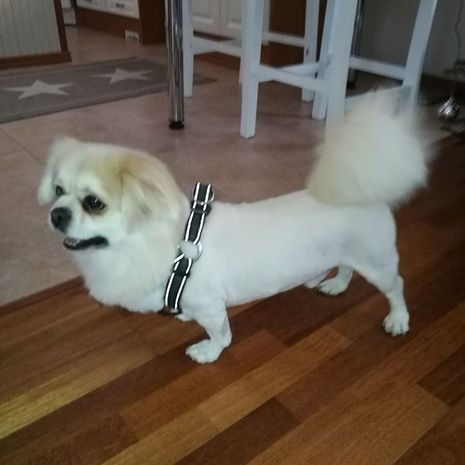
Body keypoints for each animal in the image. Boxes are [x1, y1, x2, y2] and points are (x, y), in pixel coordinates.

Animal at [38, 96, 427, 363]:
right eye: (58, 191)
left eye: (93, 203)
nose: (56, 214)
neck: (169, 247)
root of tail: (363, 191)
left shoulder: (211, 305)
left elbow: (220, 335)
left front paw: (207, 352)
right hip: (351, 252)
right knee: (346, 267)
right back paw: (335, 285)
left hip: (377, 261)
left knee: (396, 287)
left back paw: (397, 319)